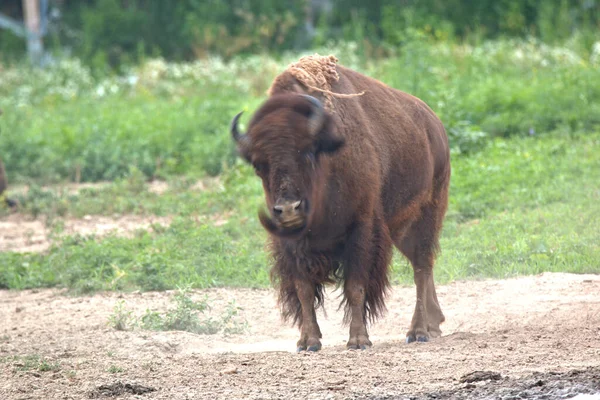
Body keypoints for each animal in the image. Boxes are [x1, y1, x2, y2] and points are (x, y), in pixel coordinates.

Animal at [231, 55, 450, 350]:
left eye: (307, 152)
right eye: (258, 165)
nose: (288, 209)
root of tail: (435, 126)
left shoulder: (361, 232)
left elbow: (355, 287)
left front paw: (358, 340)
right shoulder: (292, 245)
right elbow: (304, 289)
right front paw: (308, 341)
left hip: (427, 216)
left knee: (421, 268)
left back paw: (418, 331)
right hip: (401, 230)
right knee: (424, 268)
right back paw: (434, 324)